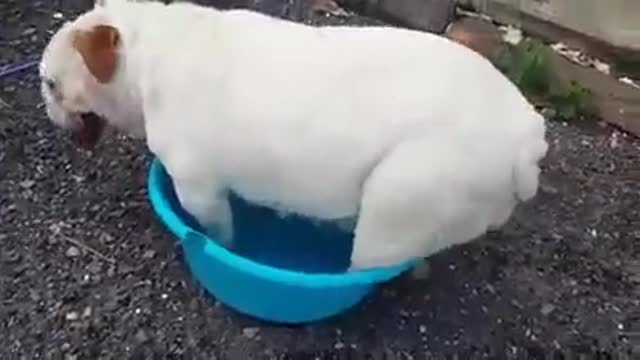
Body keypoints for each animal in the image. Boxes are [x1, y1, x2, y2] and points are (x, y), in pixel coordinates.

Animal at [41, 0, 552, 270]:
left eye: (50, 85)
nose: (48, 110)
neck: (149, 52)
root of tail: (526, 138)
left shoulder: (200, 189)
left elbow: (221, 231)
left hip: (398, 201)